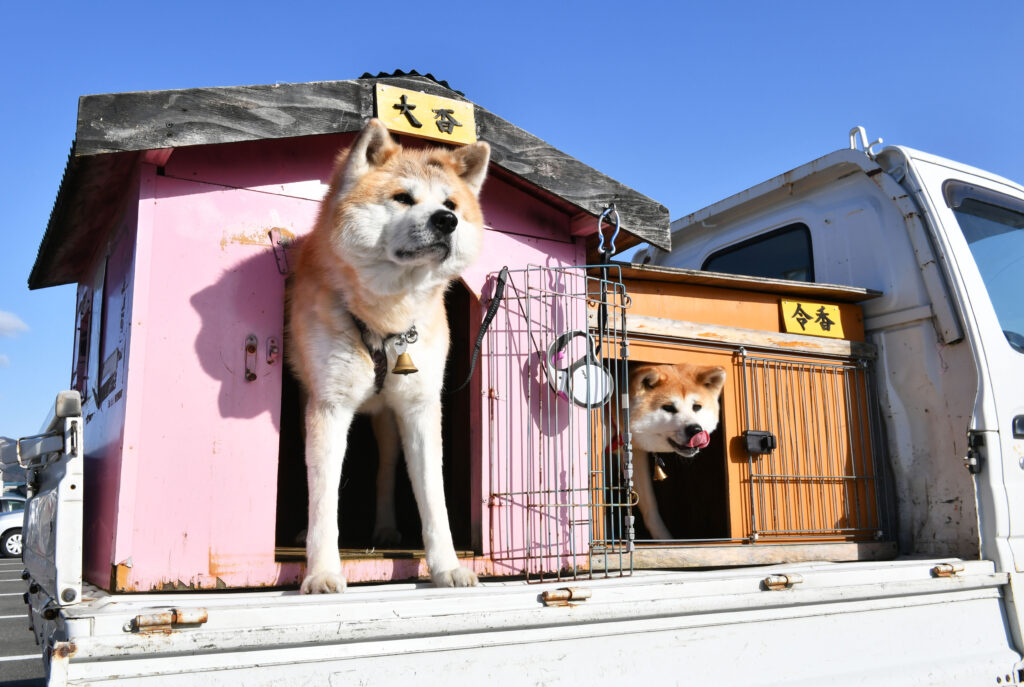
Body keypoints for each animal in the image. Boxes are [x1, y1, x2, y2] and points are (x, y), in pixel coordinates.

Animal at [288, 118, 491, 589]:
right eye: (402, 198)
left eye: (450, 203)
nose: (447, 221)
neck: (386, 319)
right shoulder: (329, 406)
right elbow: (324, 498)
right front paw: (321, 571)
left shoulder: (419, 408)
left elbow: (433, 499)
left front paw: (447, 566)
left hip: (387, 420)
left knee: (383, 474)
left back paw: (383, 528)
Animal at [622, 362, 729, 540]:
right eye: (668, 408)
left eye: (696, 407)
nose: (695, 430)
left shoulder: (635, 455)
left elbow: (650, 505)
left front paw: (665, 540)